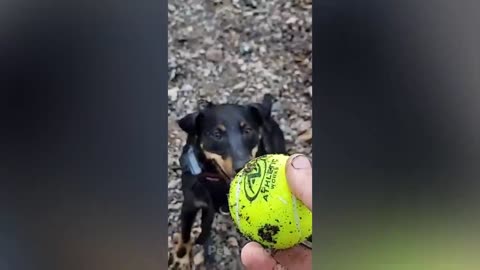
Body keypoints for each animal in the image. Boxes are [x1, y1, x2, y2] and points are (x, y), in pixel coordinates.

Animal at [170, 94, 284, 268]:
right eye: (217, 134)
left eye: (247, 130)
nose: (244, 167)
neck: (217, 182)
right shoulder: (190, 204)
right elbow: (185, 235)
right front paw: (181, 257)